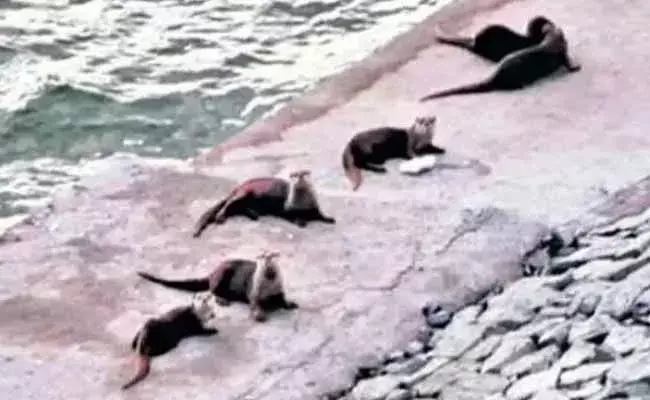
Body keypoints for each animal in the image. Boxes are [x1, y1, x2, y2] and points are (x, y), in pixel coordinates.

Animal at [136, 251, 298, 322]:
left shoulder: (279, 289)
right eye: (262, 257)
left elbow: (283, 298)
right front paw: (259, 315)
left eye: (273, 256)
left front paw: (290, 304)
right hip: (223, 274)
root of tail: (212, 272)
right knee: (212, 290)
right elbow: (254, 302)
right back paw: (222, 300)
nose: (267, 259)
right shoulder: (254, 290)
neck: (269, 286)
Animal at [192, 170, 335, 237]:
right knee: (229, 203)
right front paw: (300, 221)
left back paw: (253, 214)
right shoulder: (286, 208)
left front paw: (330, 218)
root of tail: (237, 188)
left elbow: (320, 214)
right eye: (294, 175)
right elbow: (290, 215)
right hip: (244, 192)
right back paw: (220, 217)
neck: (303, 205)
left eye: (305, 173)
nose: (299, 176)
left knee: (239, 208)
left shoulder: (314, 206)